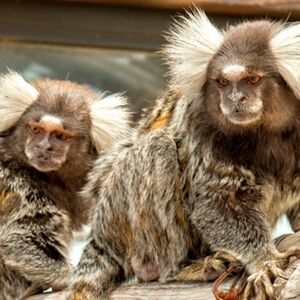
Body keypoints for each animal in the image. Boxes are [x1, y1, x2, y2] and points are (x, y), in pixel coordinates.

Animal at [0, 71, 131, 298]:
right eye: (35, 129)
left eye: (60, 136)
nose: (44, 147)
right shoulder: (18, 185)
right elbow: (18, 238)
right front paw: (68, 277)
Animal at [69, 9, 300, 300]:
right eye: (222, 83)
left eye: (252, 80)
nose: (235, 99)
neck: (267, 133)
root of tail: (100, 234)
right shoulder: (200, 122)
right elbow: (216, 203)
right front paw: (263, 261)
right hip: (115, 211)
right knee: (157, 148)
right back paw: (183, 268)